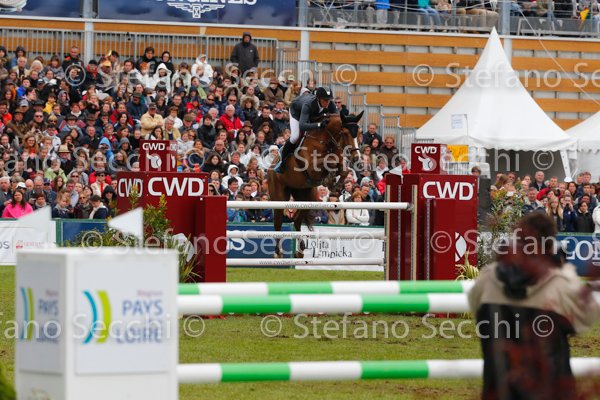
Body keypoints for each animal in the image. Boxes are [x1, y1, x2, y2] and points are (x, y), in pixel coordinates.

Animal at [267, 111, 364, 257]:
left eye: (359, 133)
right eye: (345, 133)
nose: (357, 159)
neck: (326, 139)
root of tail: (271, 167)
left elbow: (343, 169)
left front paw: (334, 183)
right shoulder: (312, 167)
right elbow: (329, 161)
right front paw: (330, 180)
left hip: (306, 196)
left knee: (297, 221)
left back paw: (300, 251)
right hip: (279, 197)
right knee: (277, 223)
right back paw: (278, 253)